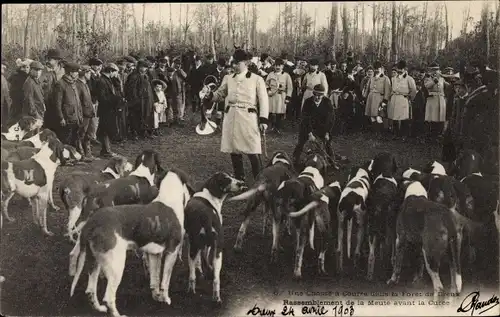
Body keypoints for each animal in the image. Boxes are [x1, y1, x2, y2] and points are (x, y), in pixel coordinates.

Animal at [69, 167, 194, 314]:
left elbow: (155, 279)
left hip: (95, 262)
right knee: (108, 297)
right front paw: (166, 299)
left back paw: (100, 308)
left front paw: (156, 297)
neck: (169, 199)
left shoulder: (154, 254)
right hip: (117, 267)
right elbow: (165, 281)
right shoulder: (172, 252)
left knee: (90, 290)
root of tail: (92, 223)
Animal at [184, 172, 246, 302]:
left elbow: (199, 262)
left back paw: (192, 292)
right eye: (226, 179)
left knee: (192, 277)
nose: (241, 182)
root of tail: (205, 216)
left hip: (195, 249)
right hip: (217, 253)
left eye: (232, 176)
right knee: (216, 280)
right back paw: (216, 298)